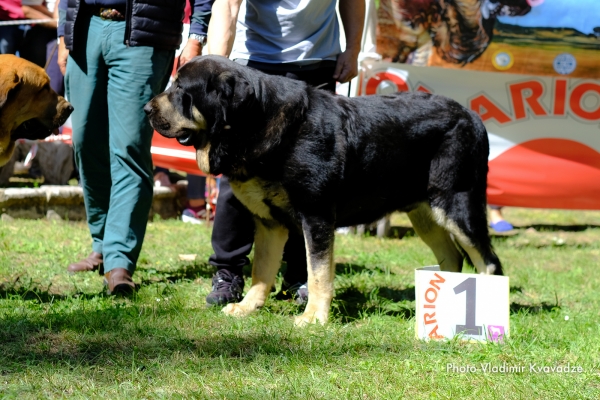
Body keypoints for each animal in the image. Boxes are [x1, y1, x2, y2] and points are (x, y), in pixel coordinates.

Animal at [144, 56, 502, 324]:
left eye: (180, 89)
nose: (146, 109)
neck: (255, 124)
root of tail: (472, 115)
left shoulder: (315, 218)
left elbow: (317, 274)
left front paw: (313, 317)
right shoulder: (270, 224)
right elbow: (262, 271)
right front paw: (248, 307)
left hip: (457, 205)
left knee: (489, 263)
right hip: (425, 215)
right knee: (453, 258)